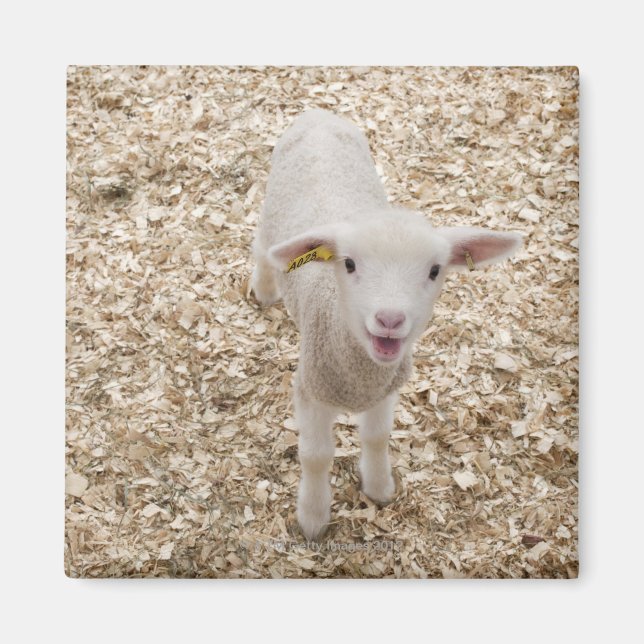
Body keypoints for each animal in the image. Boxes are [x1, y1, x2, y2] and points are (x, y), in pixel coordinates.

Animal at [250, 109, 522, 540]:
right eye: (348, 263)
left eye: (434, 270)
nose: (390, 319)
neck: (359, 374)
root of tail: (318, 114)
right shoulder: (310, 389)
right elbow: (316, 456)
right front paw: (313, 518)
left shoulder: (385, 390)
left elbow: (376, 437)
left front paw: (379, 488)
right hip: (271, 212)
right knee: (262, 248)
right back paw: (263, 289)